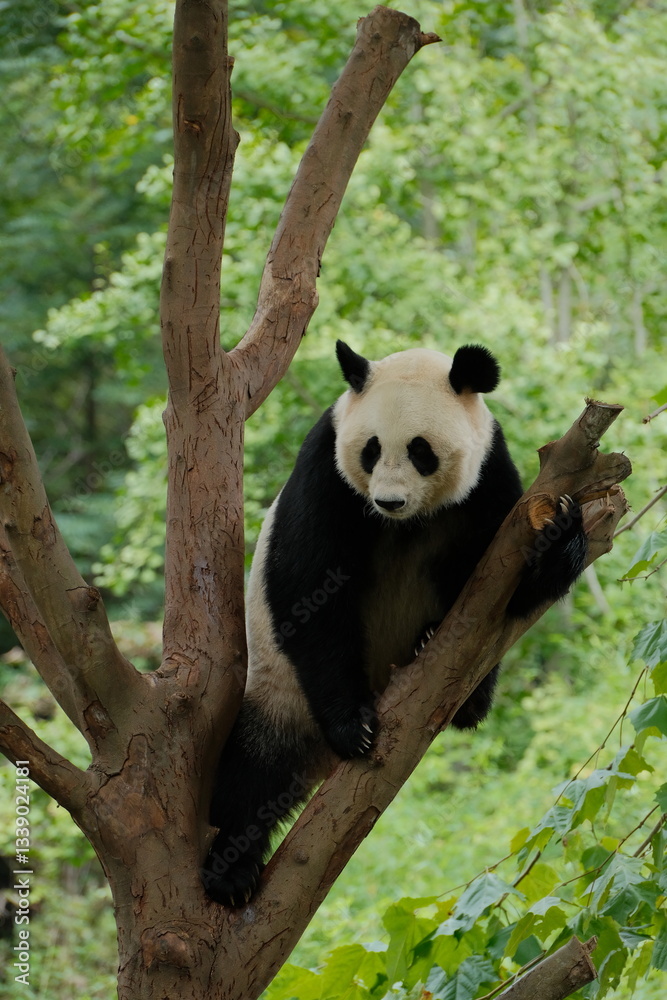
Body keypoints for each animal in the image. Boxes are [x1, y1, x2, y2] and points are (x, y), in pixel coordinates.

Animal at [202, 341, 588, 906]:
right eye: (371, 449)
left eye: (421, 450)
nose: (388, 500)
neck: (406, 523)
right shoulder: (326, 470)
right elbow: (307, 583)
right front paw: (353, 727)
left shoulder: (490, 479)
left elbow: (507, 587)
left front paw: (563, 533)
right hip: (280, 689)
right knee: (252, 772)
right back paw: (229, 873)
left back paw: (456, 682)